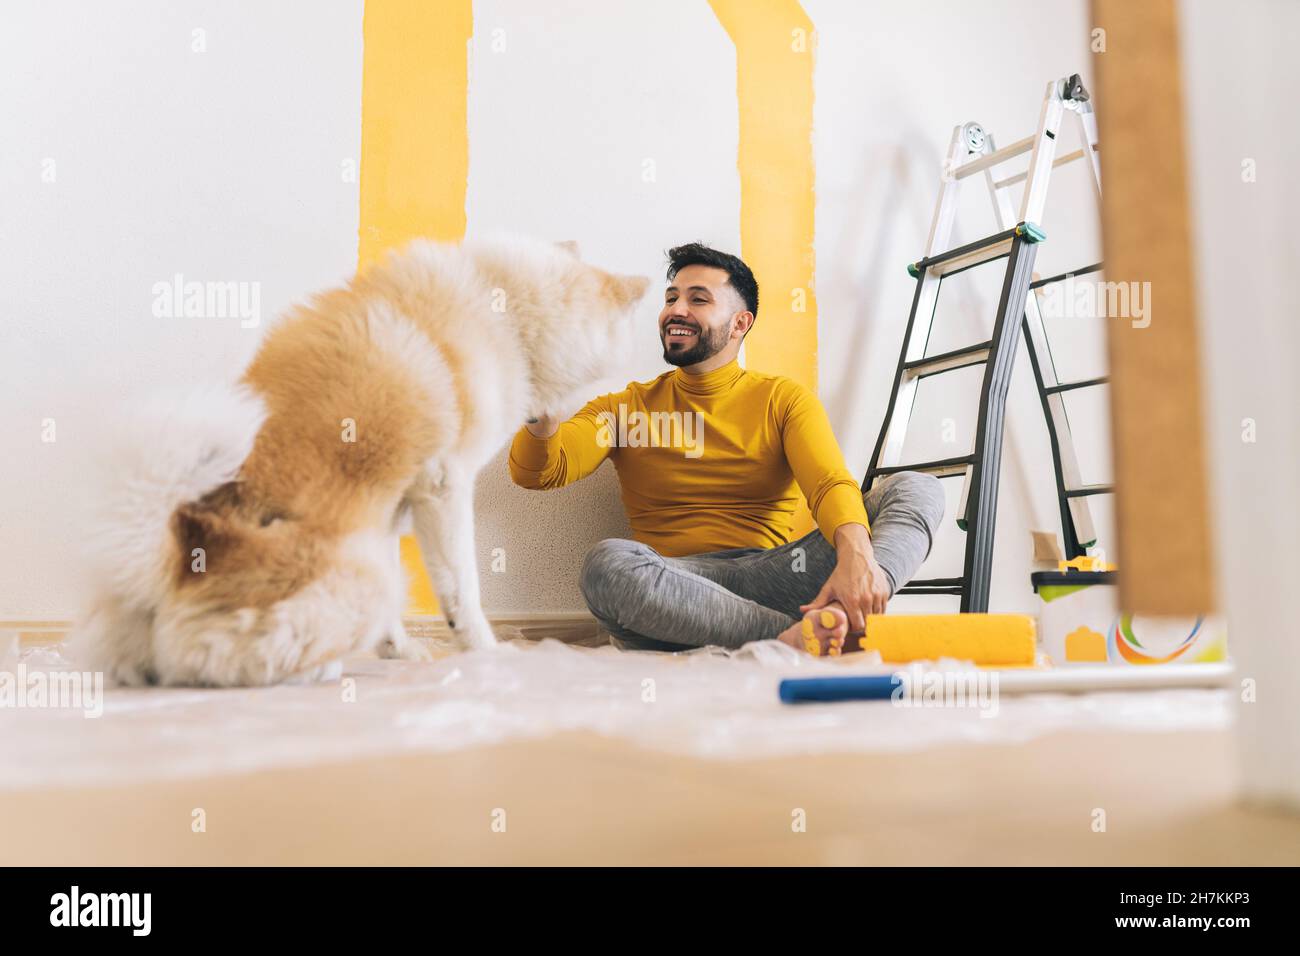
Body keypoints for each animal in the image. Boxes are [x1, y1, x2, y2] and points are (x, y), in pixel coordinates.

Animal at [73, 238, 647, 686]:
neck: (500, 305)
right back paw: (315, 670)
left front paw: (401, 651)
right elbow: (463, 589)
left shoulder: (390, 509)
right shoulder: (445, 486)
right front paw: (485, 651)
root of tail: (179, 553)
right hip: (361, 579)